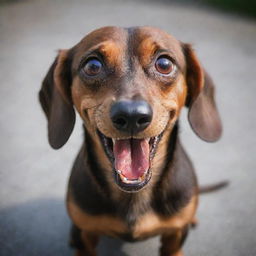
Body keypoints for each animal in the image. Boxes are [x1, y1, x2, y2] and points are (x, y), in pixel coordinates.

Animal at [39, 26, 224, 256]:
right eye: (93, 65)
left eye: (164, 64)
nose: (132, 116)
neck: (133, 194)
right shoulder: (86, 234)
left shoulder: (175, 235)